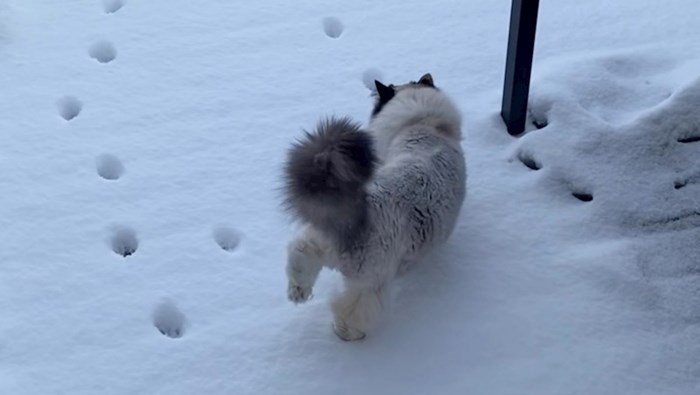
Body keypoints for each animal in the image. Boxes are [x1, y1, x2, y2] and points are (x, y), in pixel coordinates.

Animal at [282, 73, 468, 340]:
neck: (425, 124)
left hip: (318, 243)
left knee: (299, 254)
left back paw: (298, 293)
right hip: (371, 281)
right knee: (352, 311)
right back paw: (347, 334)